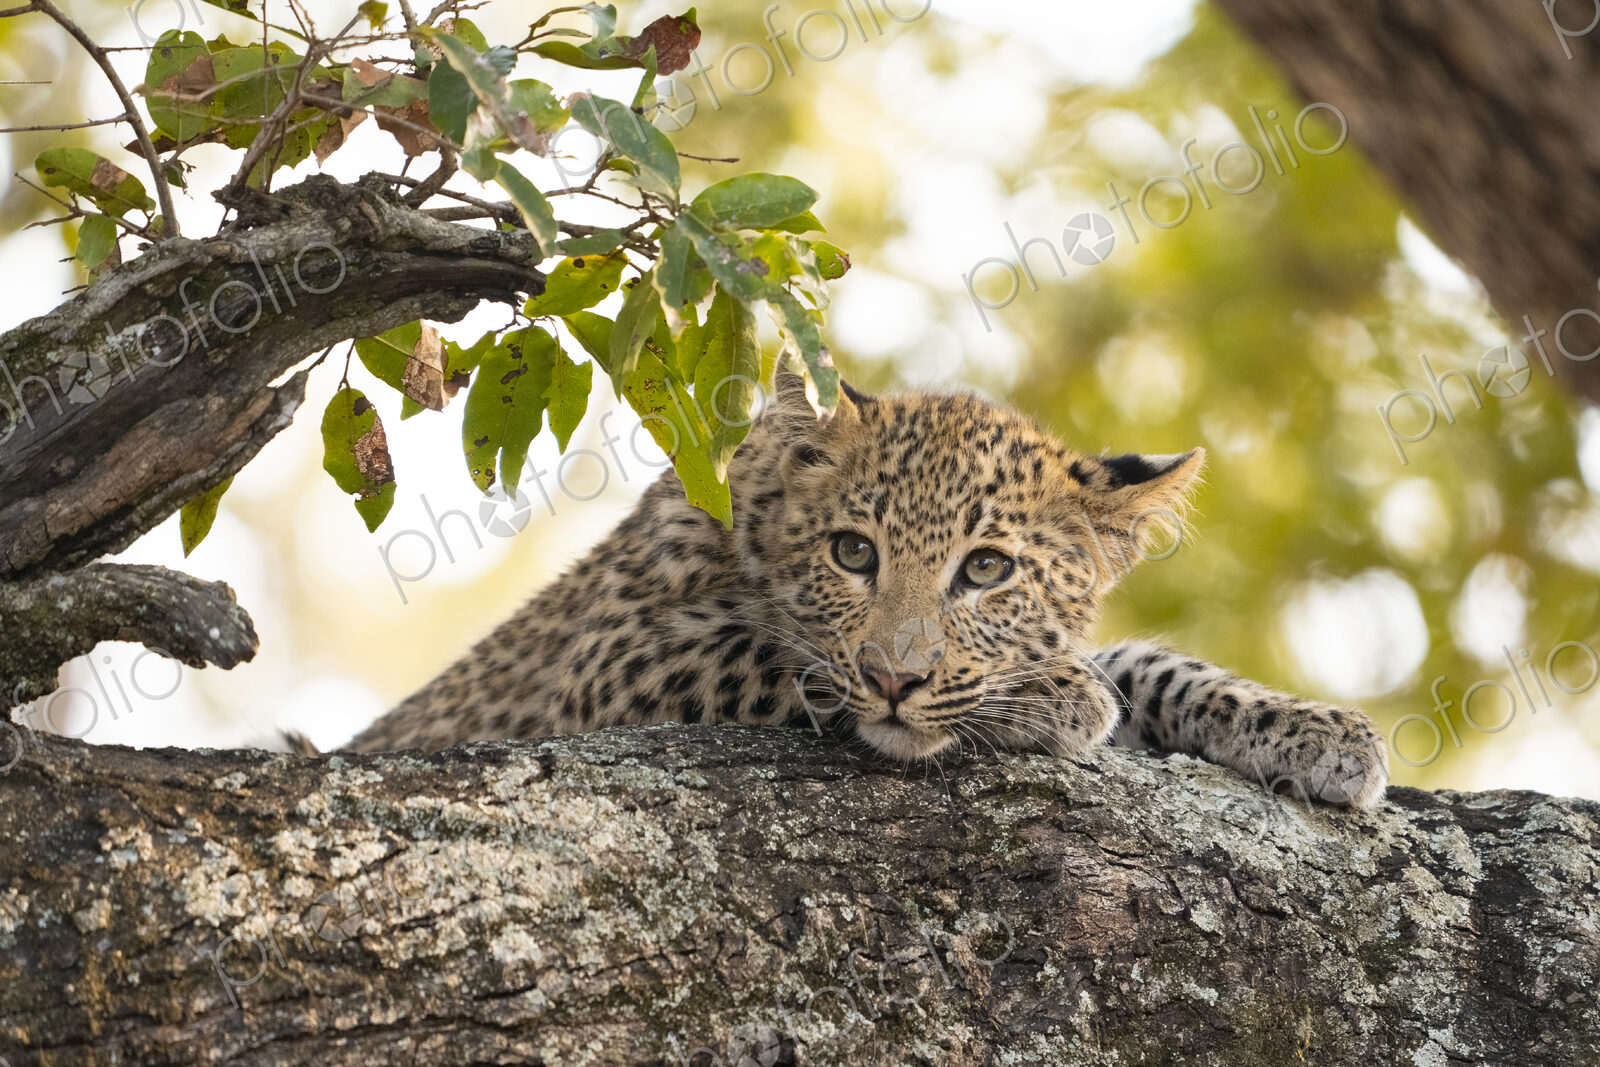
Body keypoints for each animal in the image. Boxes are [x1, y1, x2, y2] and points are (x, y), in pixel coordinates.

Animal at [347, 372, 1389, 808]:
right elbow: (786, 658)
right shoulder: (614, 664)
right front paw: (1050, 699)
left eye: (986, 568)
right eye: (853, 553)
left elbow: (1147, 665)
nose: (897, 681)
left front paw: (1320, 732)